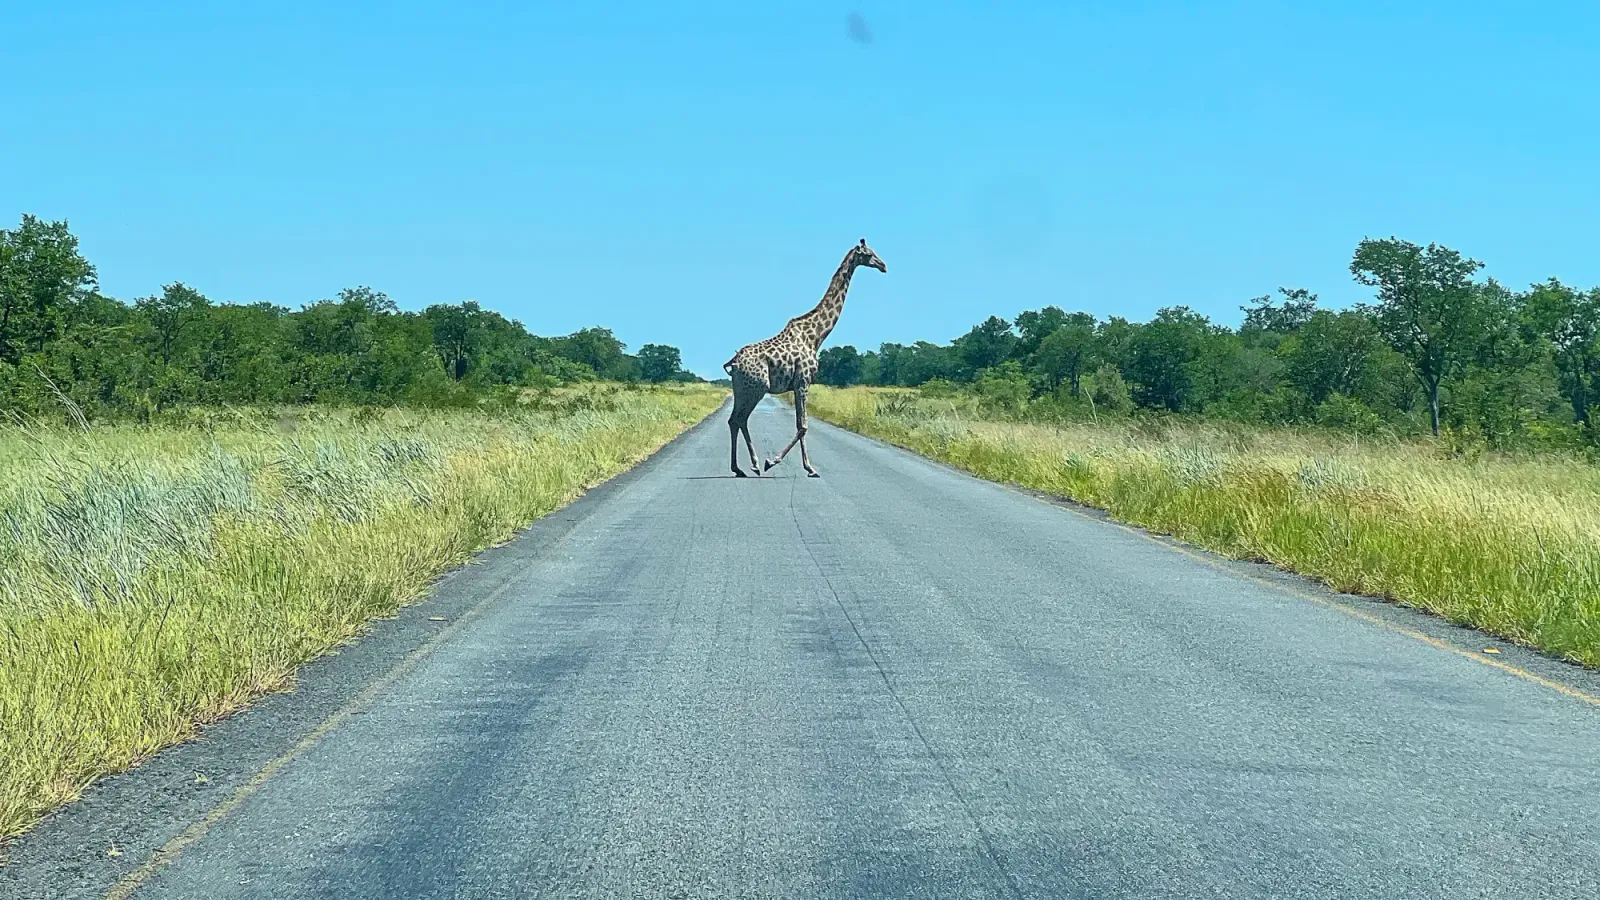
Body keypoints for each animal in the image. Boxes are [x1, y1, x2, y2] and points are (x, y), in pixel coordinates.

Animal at [721, 238, 887, 478]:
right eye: (869, 254)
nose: (883, 265)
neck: (816, 335)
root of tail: (733, 362)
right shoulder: (803, 382)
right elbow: (803, 426)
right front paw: (788, 463)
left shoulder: (799, 384)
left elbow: (801, 425)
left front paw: (801, 465)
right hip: (757, 388)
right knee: (740, 419)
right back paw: (754, 464)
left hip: (741, 389)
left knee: (734, 420)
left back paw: (740, 468)